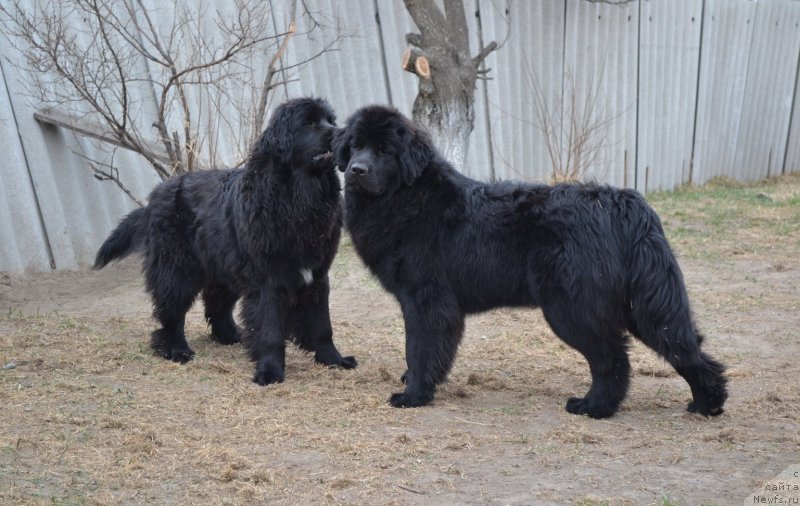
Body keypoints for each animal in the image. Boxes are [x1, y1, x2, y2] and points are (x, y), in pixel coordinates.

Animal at [94, 97, 356, 386]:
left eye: (330, 121)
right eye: (308, 123)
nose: (340, 133)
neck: (297, 199)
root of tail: (156, 195)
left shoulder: (317, 275)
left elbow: (322, 326)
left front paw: (334, 360)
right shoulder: (267, 280)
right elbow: (270, 330)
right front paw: (270, 371)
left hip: (225, 265)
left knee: (216, 304)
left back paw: (232, 335)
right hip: (177, 269)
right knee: (172, 312)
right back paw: (177, 350)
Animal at [334, 105, 728, 420]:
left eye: (384, 150)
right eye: (355, 145)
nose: (356, 169)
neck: (407, 196)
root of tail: (621, 202)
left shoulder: (425, 300)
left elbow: (419, 348)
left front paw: (413, 394)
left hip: (572, 307)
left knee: (613, 359)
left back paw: (593, 408)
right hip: (637, 305)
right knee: (685, 347)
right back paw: (707, 403)